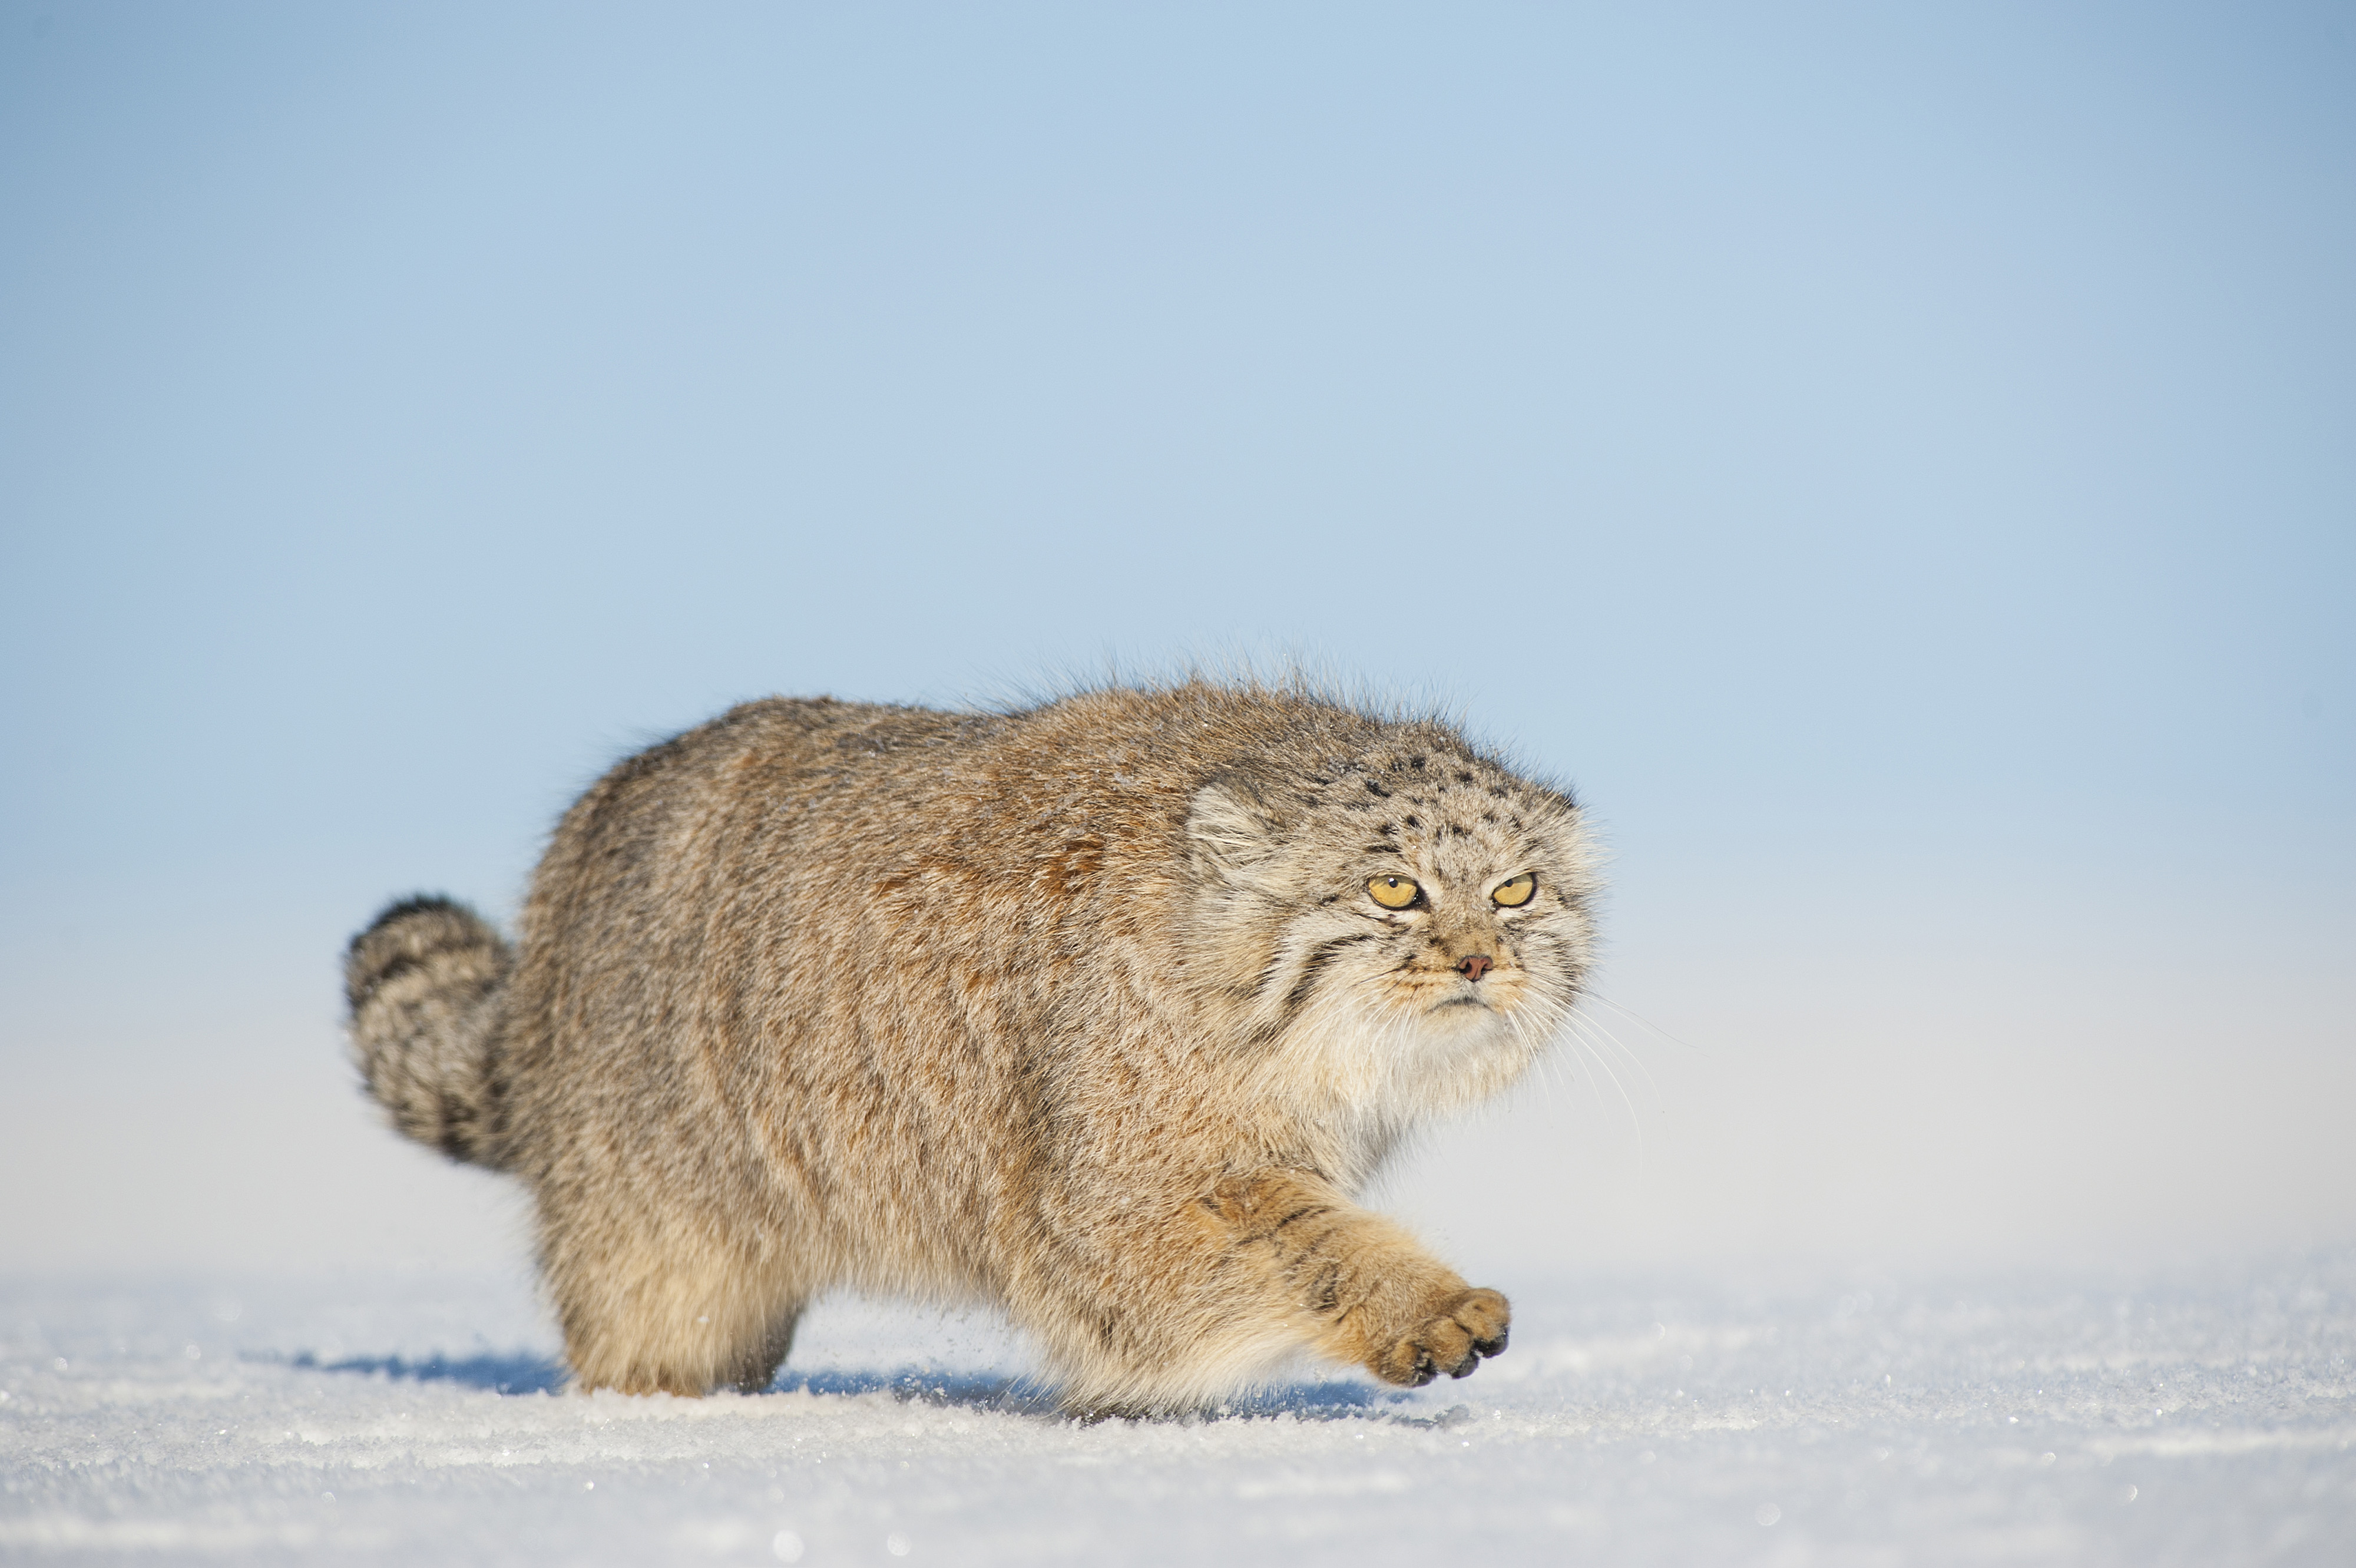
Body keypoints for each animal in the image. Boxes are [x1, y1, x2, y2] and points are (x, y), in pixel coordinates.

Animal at [344, 678, 1602, 1412]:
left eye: (1516, 888)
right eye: (1394, 887)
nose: (1480, 960)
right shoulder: (1108, 1204)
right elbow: (1300, 1243)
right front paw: (1417, 1304)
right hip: (658, 1242)